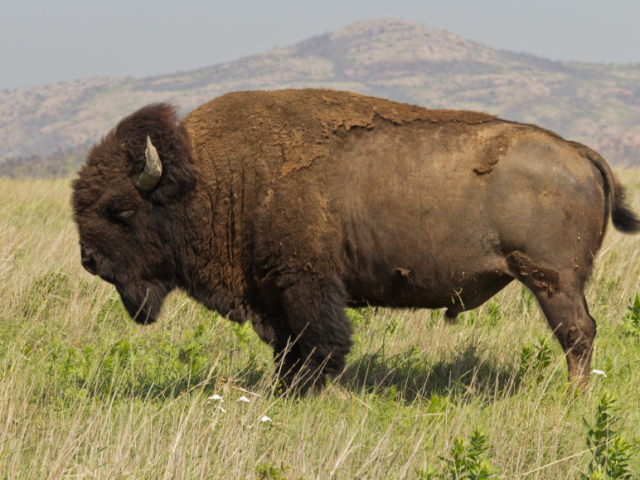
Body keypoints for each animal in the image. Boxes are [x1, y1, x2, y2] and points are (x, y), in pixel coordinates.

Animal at [74, 88, 636, 392]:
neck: (212, 177)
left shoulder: (306, 285)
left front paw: (306, 394)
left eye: (119, 208)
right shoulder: (272, 294)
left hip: (552, 280)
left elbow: (320, 345)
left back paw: (574, 397)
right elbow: (286, 350)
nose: (89, 260)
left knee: (577, 334)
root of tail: (579, 152)